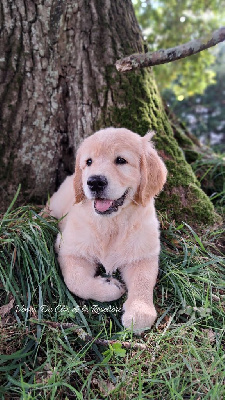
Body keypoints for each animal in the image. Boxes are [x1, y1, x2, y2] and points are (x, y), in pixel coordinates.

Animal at [47, 127, 167, 332]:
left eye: (120, 160)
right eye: (89, 162)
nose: (94, 182)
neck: (111, 224)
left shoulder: (143, 255)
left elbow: (143, 281)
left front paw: (140, 312)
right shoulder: (68, 249)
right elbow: (76, 282)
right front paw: (110, 287)